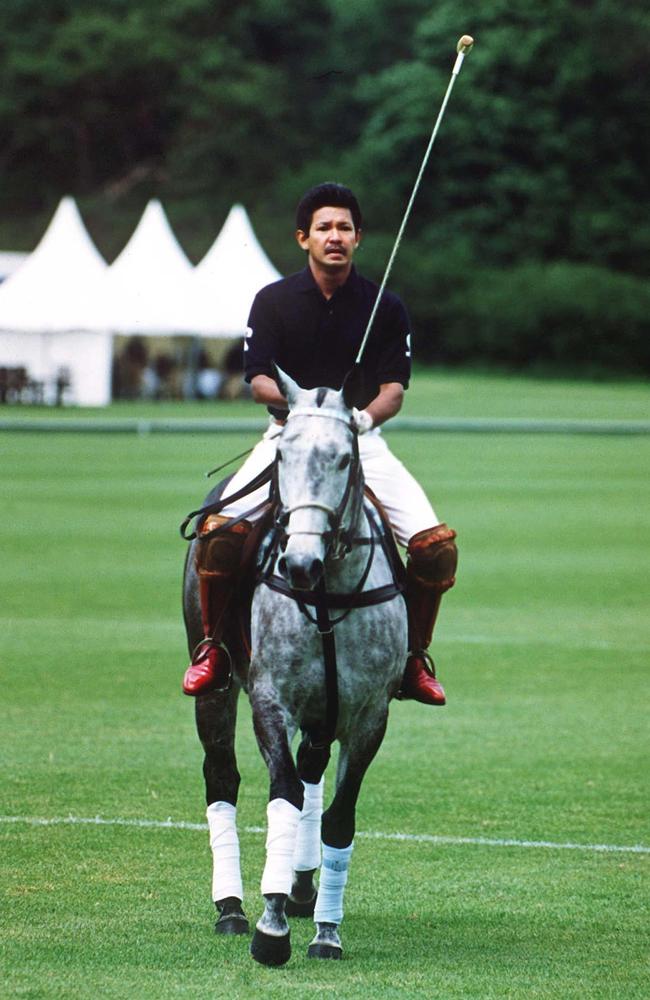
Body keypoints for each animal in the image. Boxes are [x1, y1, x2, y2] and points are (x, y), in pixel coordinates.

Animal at [182, 372, 404, 964]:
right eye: (283, 455)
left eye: (346, 457)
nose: (300, 564)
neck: (326, 594)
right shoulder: (270, 698)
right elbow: (281, 795)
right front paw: (271, 927)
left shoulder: (369, 715)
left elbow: (338, 817)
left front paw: (326, 931)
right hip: (216, 683)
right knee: (223, 776)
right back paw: (232, 907)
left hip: (324, 711)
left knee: (311, 774)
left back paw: (303, 887)